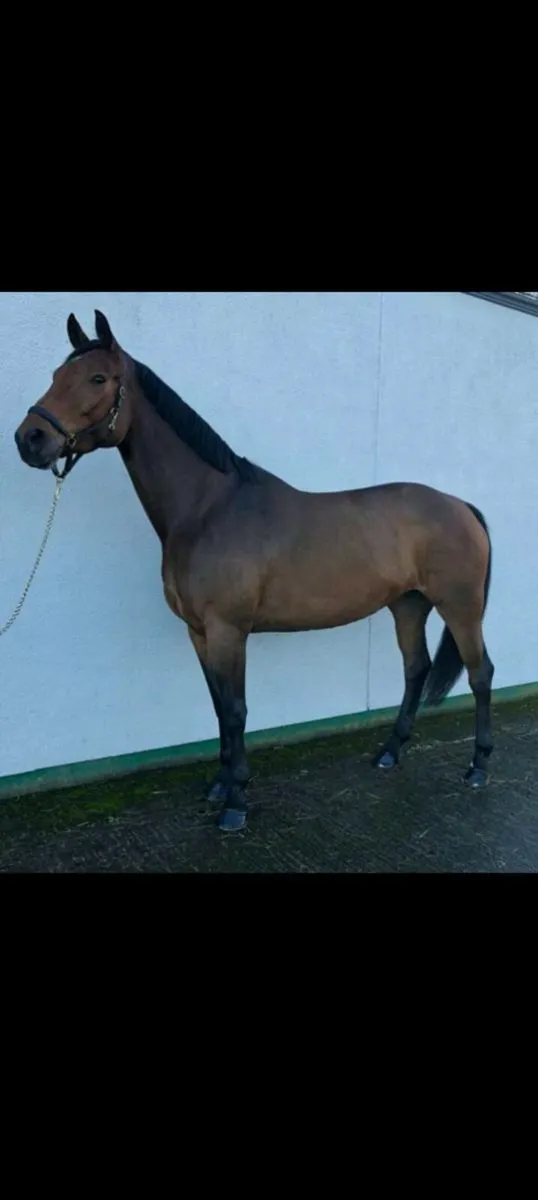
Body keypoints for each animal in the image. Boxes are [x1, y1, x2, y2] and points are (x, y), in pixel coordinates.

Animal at [14, 310, 494, 831]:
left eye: (98, 378)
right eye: (56, 375)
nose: (30, 439)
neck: (207, 511)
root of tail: (461, 506)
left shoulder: (229, 629)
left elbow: (236, 710)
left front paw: (236, 802)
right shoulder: (200, 632)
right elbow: (218, 707)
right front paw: (219, 785)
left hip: (460, 607)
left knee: (480, 673)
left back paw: (478, 768)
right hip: (408, 606)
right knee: (415, 669)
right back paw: (390, 753)